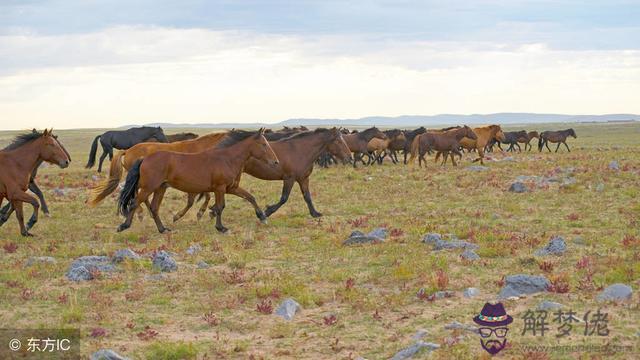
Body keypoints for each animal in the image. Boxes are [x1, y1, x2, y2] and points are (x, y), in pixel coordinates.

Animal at [117, 129, 278, 233]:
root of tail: (144, 159)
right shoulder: (220, 188)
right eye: (264, 144)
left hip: (160, 188)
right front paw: (221, 228)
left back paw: (163, 229)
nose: (275, 162)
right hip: (148, 187)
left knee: (154, 208)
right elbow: (220, 207)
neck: (226, 159)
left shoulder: (230, 188)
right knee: (135, 203)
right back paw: (124, 226)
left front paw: (263, 217)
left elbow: (250, 197)